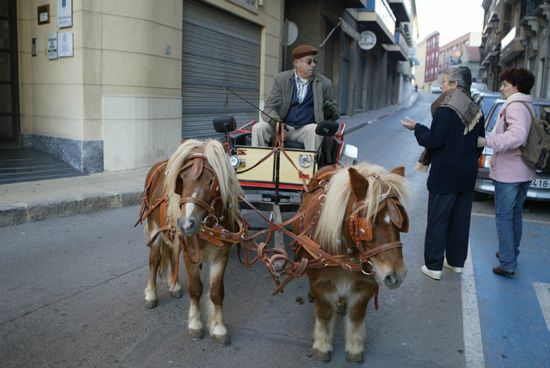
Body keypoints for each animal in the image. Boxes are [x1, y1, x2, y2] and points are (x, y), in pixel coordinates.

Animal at [142, 139, 244, 346]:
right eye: (181, 179)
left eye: (212, 181)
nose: (186, 223)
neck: (210, 226)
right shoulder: (191, 255)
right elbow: (196, 289)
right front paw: (196, 325)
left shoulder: (221, 256)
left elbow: (217, 292)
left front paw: (219, 328)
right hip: (155, 229)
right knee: (154, 261)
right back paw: (151, 294)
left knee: (173, 254)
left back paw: (174, 285)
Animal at [294, 162, 410, 364]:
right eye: (369, 222)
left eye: (400, 221)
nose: (397, 275)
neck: (346, 255)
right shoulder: (321, 284)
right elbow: (324, 313)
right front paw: (322, 346)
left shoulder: (365, 286)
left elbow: (356, 316)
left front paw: (355, 348)